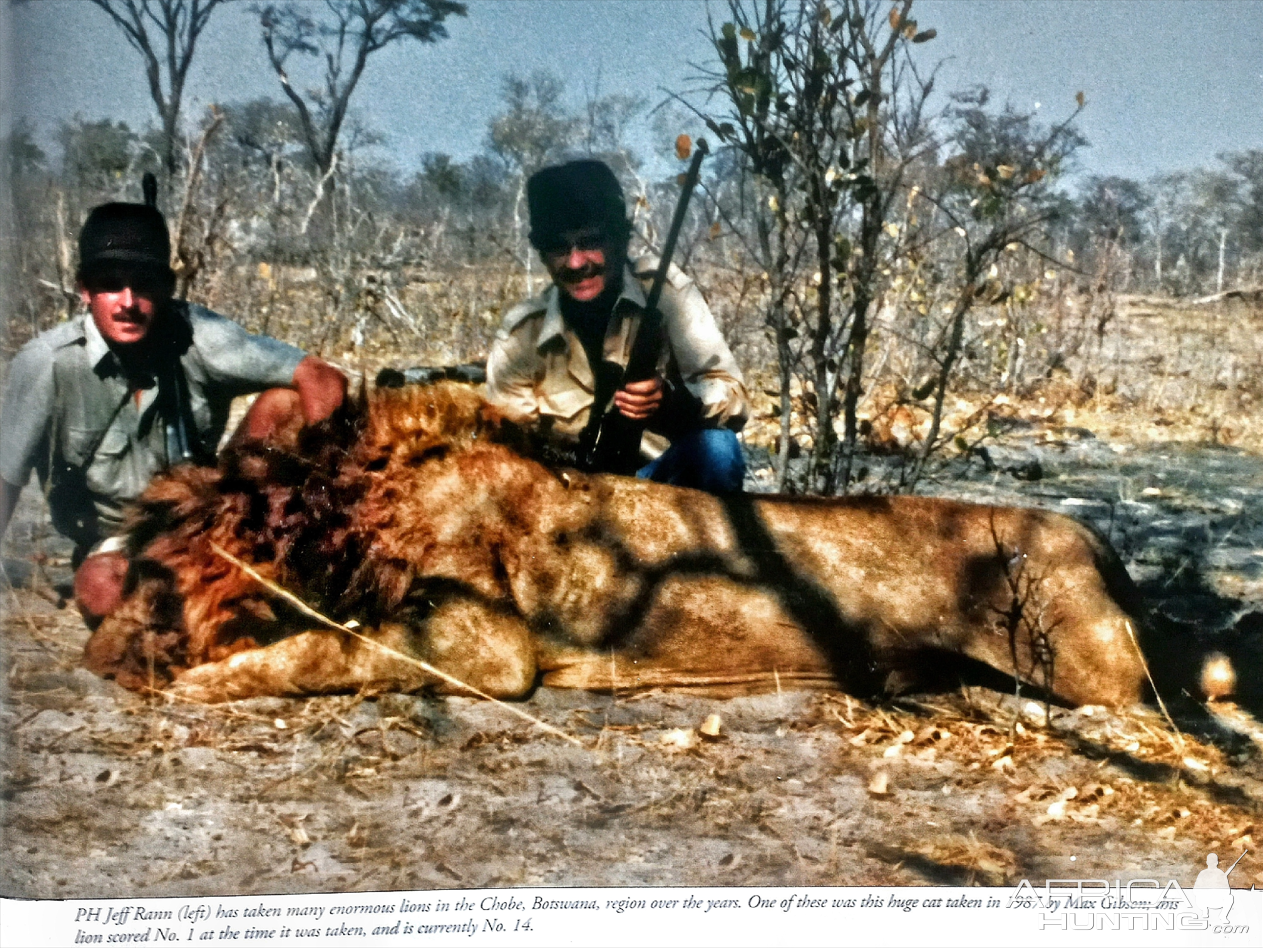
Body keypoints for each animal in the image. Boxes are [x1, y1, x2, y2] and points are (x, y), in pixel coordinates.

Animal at [83, 381, 1156, 706]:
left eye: (147, 572)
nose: (97, 651)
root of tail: (1096, 537)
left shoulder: (490, 646)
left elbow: (331, 646)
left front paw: (202, 680)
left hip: (1091, 664)